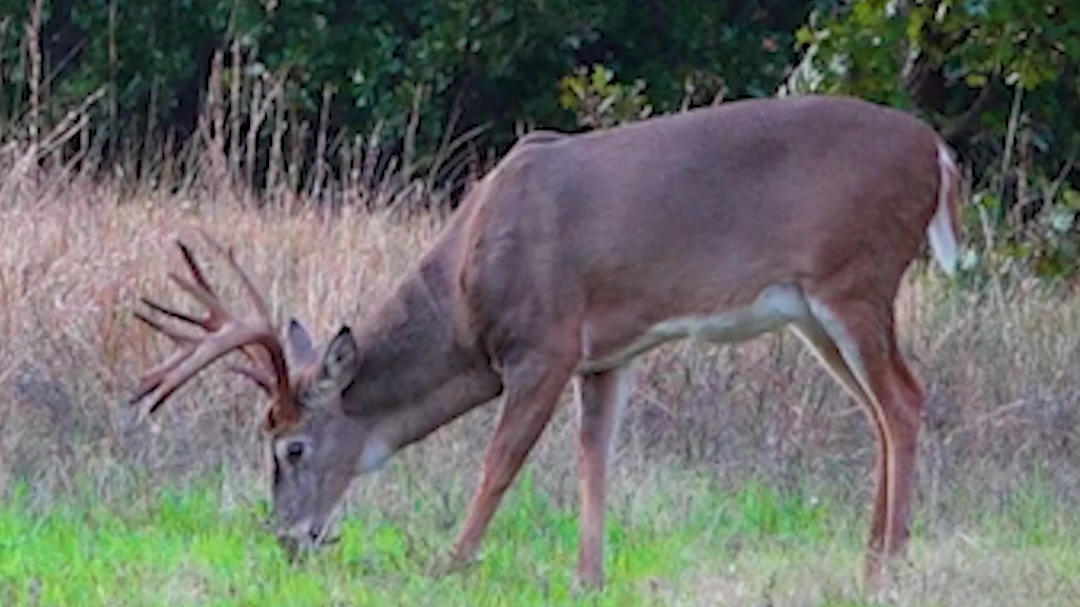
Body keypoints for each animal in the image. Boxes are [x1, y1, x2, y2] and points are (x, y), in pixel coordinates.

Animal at [128, 94, 963, 591]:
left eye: (292, 447)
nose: (288, 539)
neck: (465, 296)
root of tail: (940, 153)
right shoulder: (609, 351)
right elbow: (596, 458)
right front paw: (589, 575)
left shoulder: (545, 341)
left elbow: (502, 461)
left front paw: (451, 562)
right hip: (815, 311)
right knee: (882, 409)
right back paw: (871, 553)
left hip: (855, 277)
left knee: (904, 399)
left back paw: (887, 566)